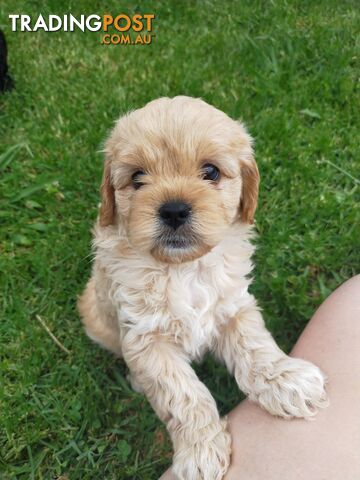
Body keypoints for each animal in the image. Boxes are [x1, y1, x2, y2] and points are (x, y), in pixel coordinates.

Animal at [78, 95, 326, 478]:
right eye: (137, 178)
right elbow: (183, 395)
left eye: (211, 172)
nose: (174, 210)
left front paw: (286, 381)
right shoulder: (147, 339)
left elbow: (256, 347)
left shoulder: (234, 307)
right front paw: (200, 453)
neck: (183, 269)